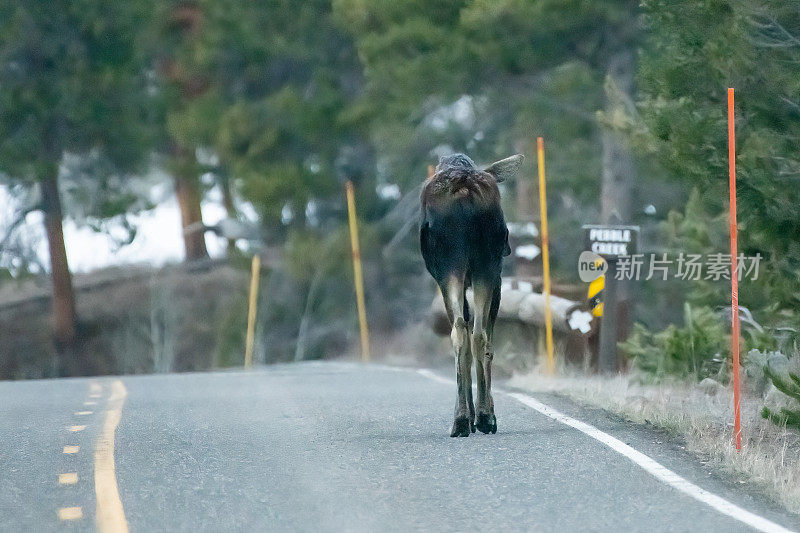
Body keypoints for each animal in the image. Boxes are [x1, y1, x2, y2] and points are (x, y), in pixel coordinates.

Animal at [418, 153, 524, 436]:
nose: (509, 248)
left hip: (461, 269)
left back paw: (470, 418)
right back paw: (475, 417)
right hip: (480, 267)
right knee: (472, 333)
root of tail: (464, 187)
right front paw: (481, 413)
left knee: (467, 332)